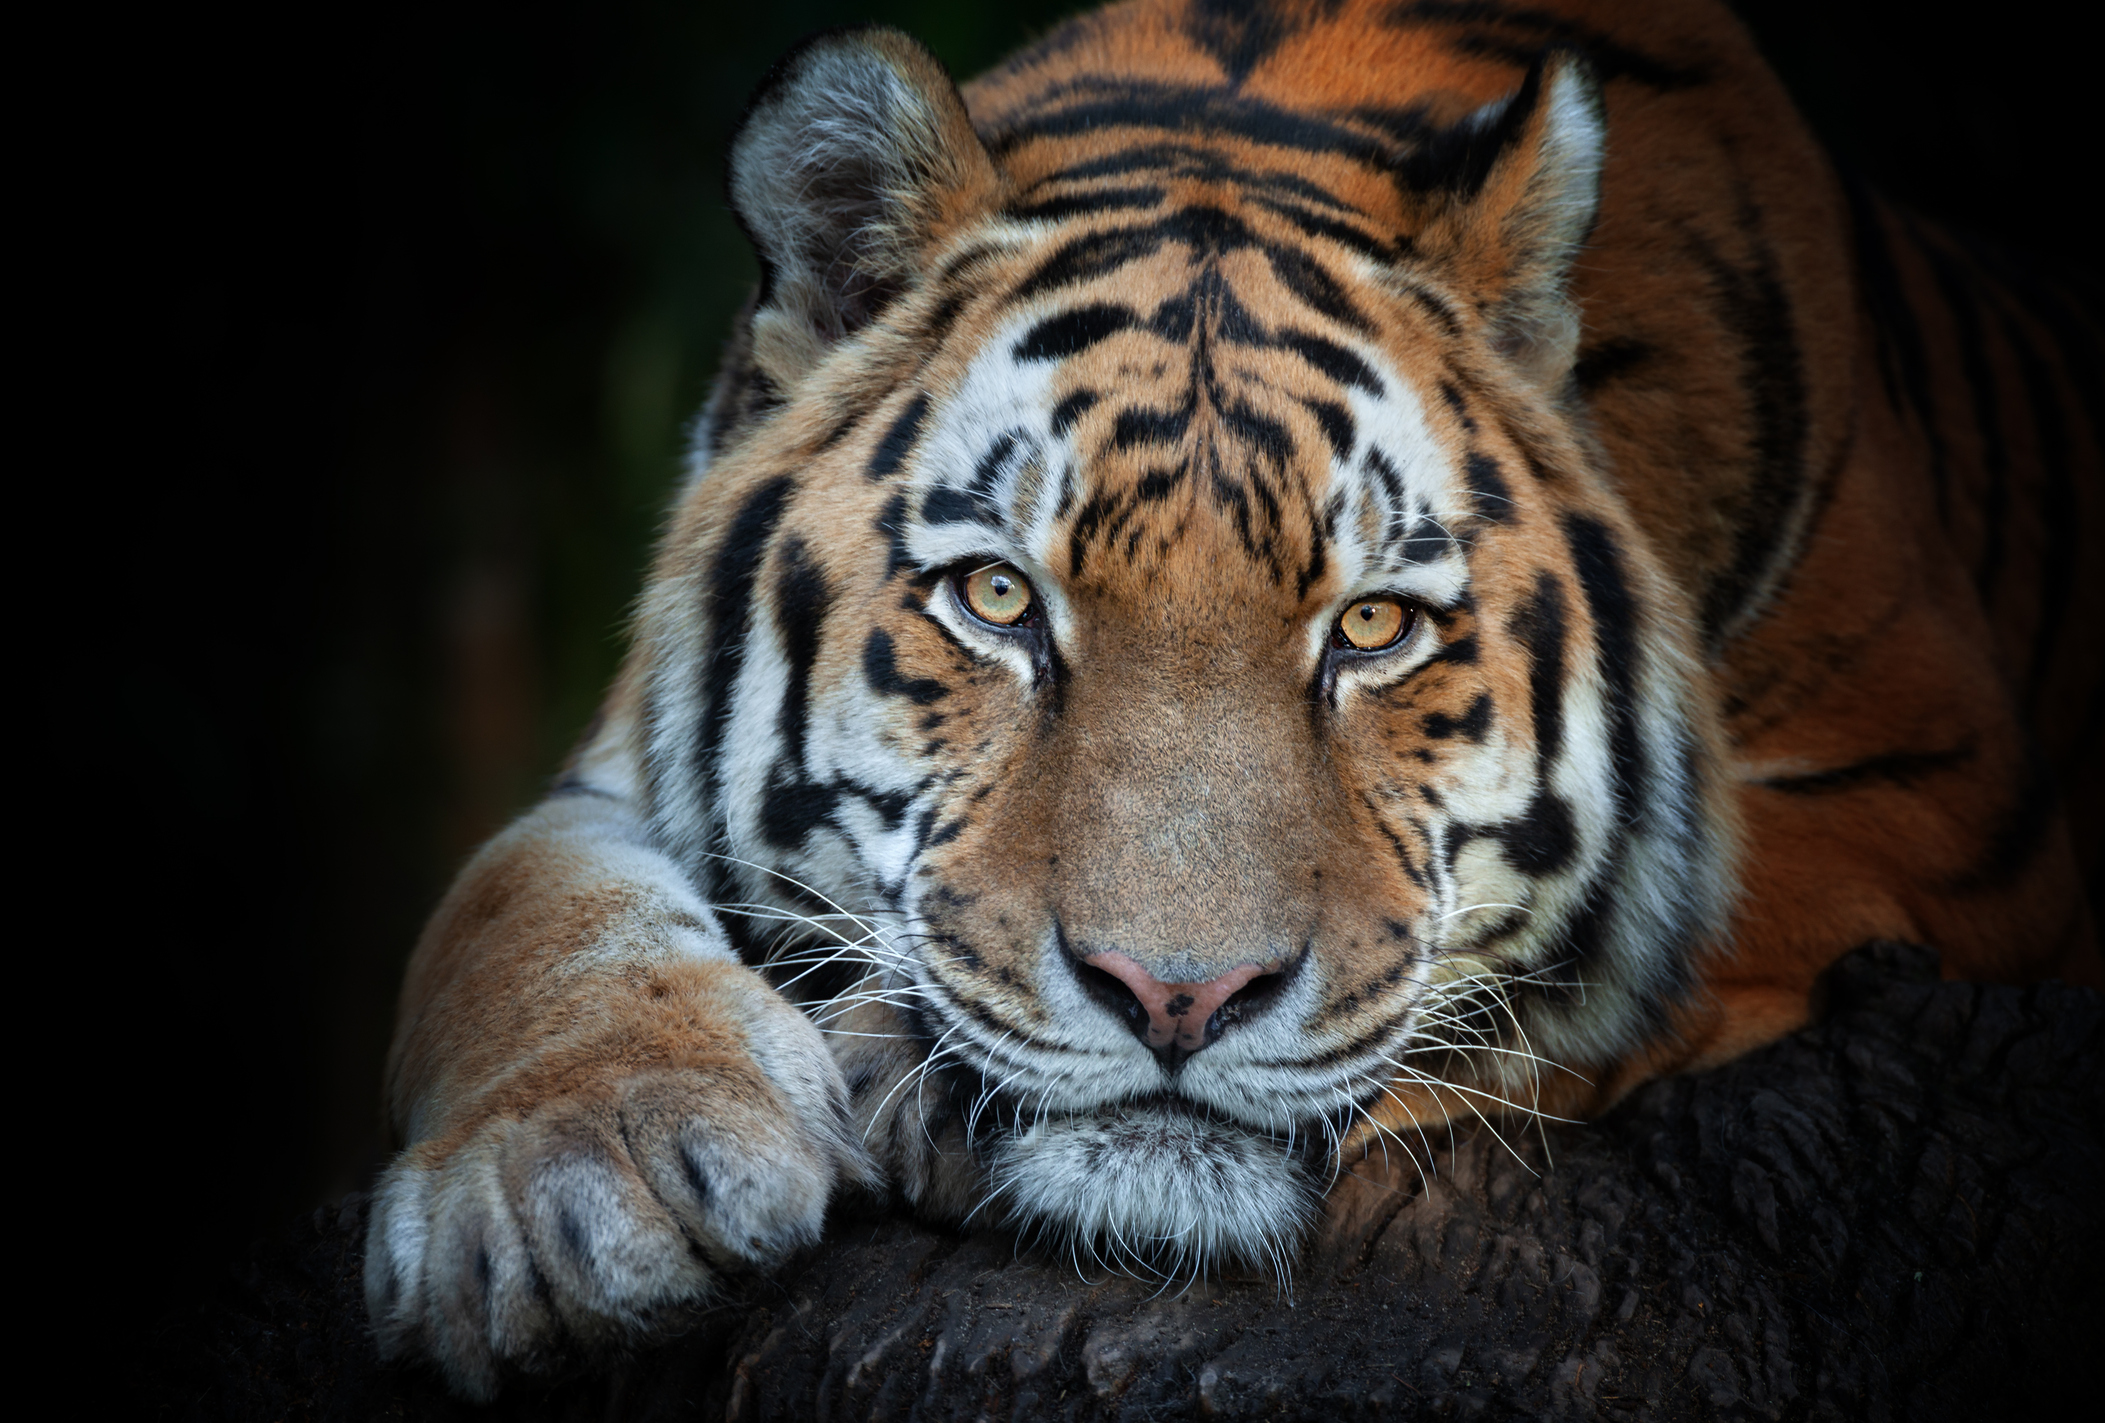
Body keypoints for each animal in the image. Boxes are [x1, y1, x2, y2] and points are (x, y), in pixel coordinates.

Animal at [362, 0, 2103, 1398]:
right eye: (998, 596)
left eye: (1374, 625)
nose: (1175, 997)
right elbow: (509, 904)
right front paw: (576, 1184)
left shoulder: (1925, 808)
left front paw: (896, 1077)